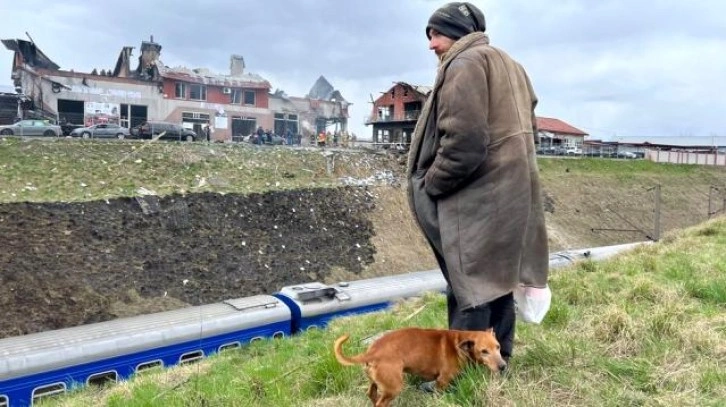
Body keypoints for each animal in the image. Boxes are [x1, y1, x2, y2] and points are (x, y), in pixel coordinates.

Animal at [334, 328, 506, 407]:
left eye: (498, 347)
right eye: (484, 351)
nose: (503, 366)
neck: (459, 344)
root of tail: (372, 351)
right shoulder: (442, 381)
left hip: (376, 382)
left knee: (372, 394)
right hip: (394, 386)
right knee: (380, 403)